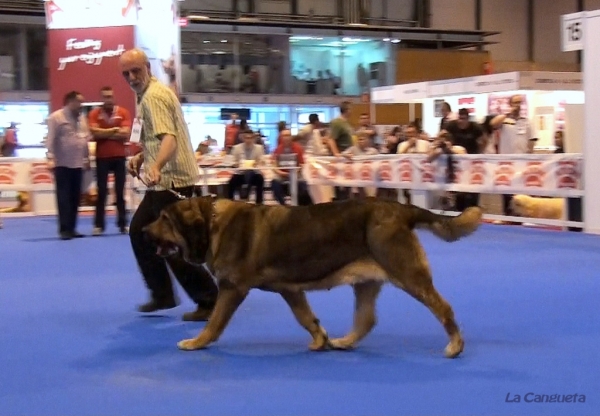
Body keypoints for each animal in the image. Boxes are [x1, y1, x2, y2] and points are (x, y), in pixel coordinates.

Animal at [144, 197, 482, 358]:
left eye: (164, 218)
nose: (144, 230)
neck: (211, 223)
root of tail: (401, 209)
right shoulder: (290, 290)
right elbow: (306, 318)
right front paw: (320, 339)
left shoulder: (232, 288)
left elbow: (214, 322)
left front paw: (196, 342)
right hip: (366, 282)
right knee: (366, 319)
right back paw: (344, 341)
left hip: (409, 274)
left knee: (443, 308)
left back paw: (455, 346)